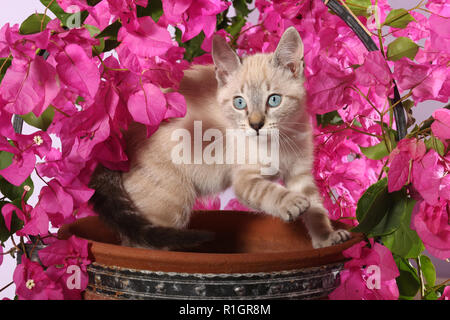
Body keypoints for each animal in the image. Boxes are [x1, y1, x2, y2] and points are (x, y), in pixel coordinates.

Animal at [89, 27, 352, 250]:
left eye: (274, 100)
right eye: (240, 103)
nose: (256, 125)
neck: (277, 143)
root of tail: (119, 146)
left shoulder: (300, 173)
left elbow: (317, 209)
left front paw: (326, 238)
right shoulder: (245, 179)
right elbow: (269, 191)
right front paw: (291, 204)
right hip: (170, 204)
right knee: (139, 245)